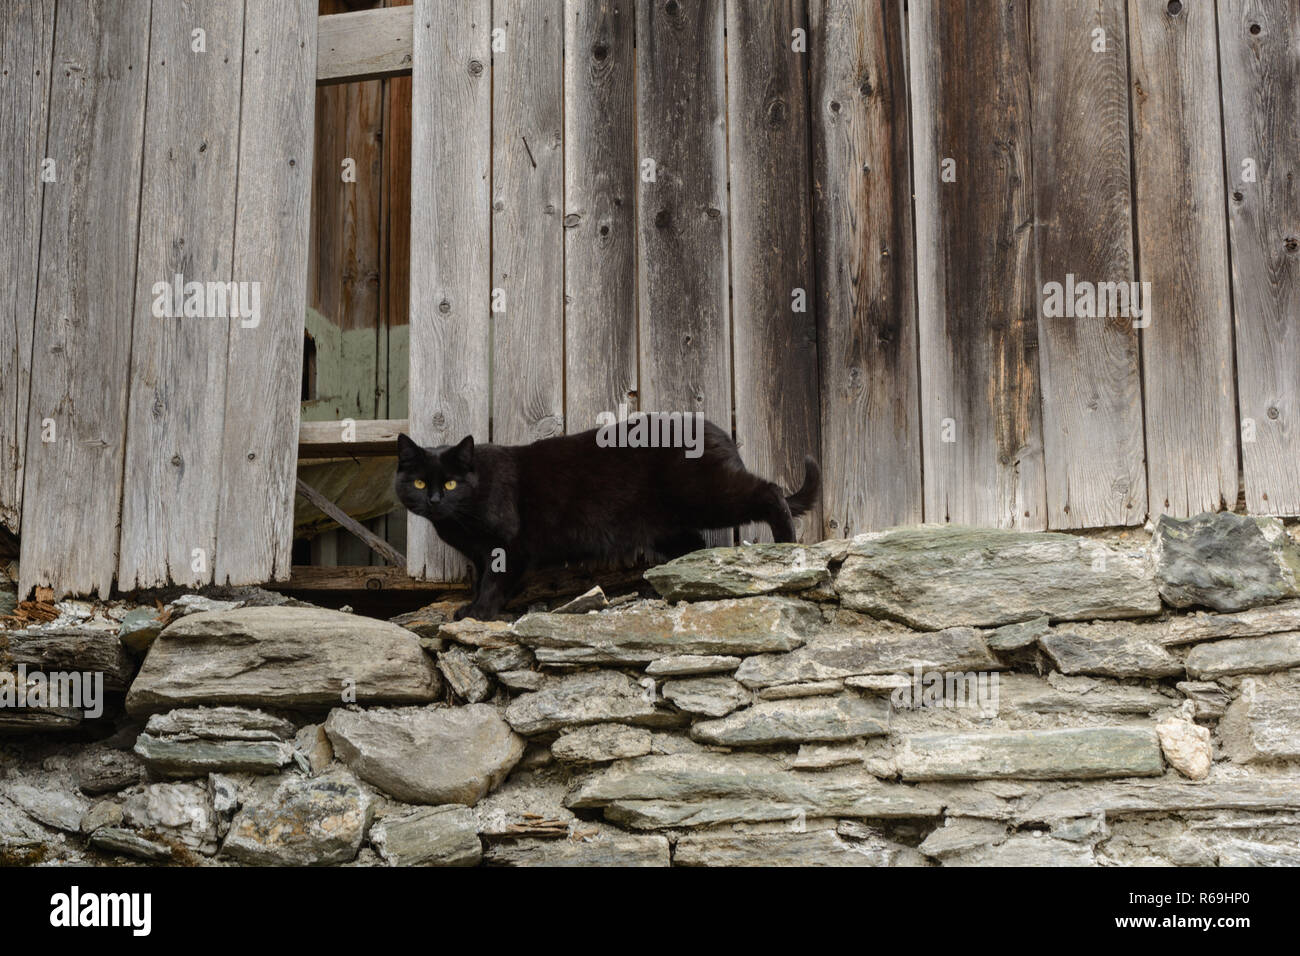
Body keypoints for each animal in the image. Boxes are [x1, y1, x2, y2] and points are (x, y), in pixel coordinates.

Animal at [395, 418, 821, 621]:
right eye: (419, 482)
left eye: (451, 482)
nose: (434, 500)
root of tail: (718, 430)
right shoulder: (479, 554)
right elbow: (479, 578)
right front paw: (470, 606)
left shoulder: (507, 546)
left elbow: (493, 582)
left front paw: (480, 613)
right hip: (669, 527)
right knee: (695, 545)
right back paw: (667, 586)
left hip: (706, 495)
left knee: (769, 491)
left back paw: (786, 541)